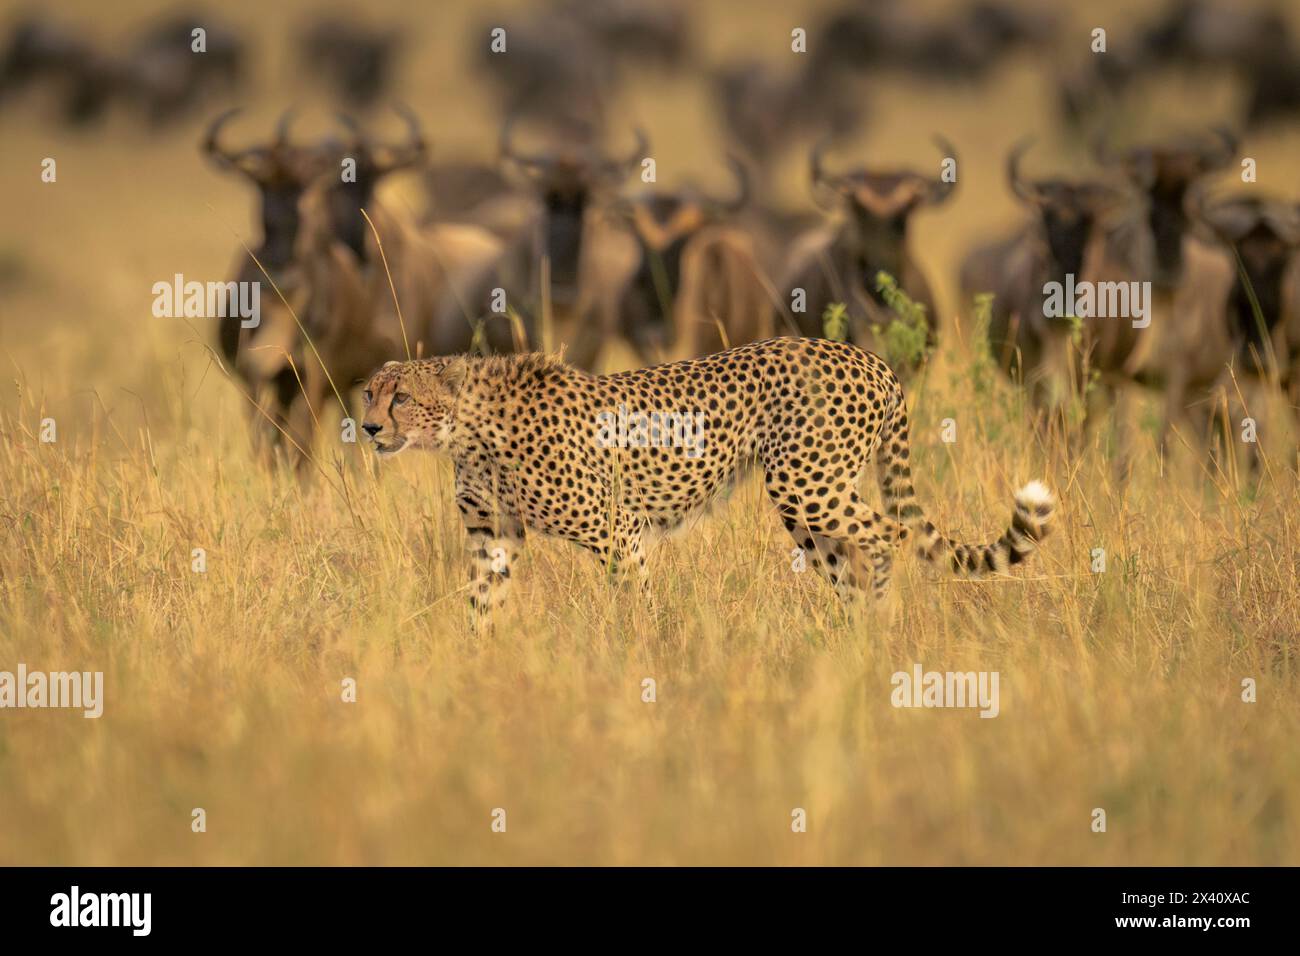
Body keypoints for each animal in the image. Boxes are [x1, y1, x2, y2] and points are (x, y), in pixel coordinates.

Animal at [358, 335, 1055, 621]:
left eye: (401, 399)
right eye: (370, 392)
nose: (365, 427)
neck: (466, 427)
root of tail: (870, 358)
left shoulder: (617, 527)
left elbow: (634, 601)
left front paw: (641, 659)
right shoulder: (494, 535)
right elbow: (481, 603)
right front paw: (476, 662)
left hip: (806, 485)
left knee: (888, 535)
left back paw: (880, 630)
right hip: (809, 505)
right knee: (852, 560)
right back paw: (851, 643)